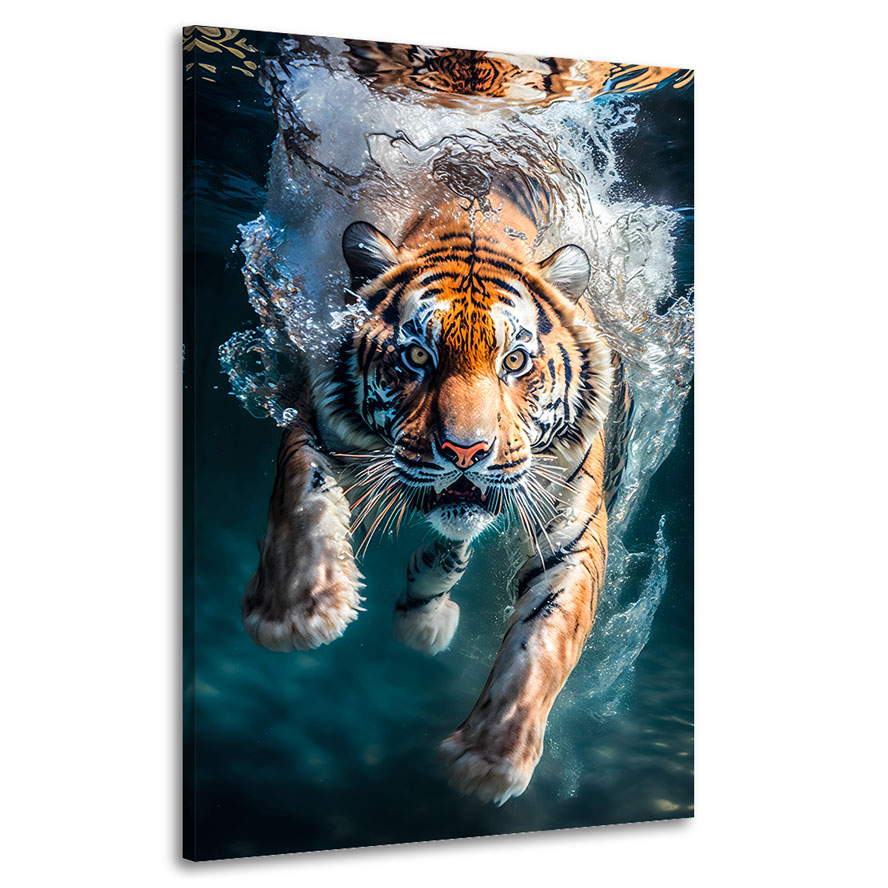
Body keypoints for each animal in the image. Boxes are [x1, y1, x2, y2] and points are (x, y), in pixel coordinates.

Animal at [242, 178, 632, 806]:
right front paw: (297, 613)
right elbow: (301, 497)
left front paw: (491, 756)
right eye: (418, 356)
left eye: (514, 360)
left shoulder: (574, 522)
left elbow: (546, 635)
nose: (465, 452)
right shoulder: (311, 419)